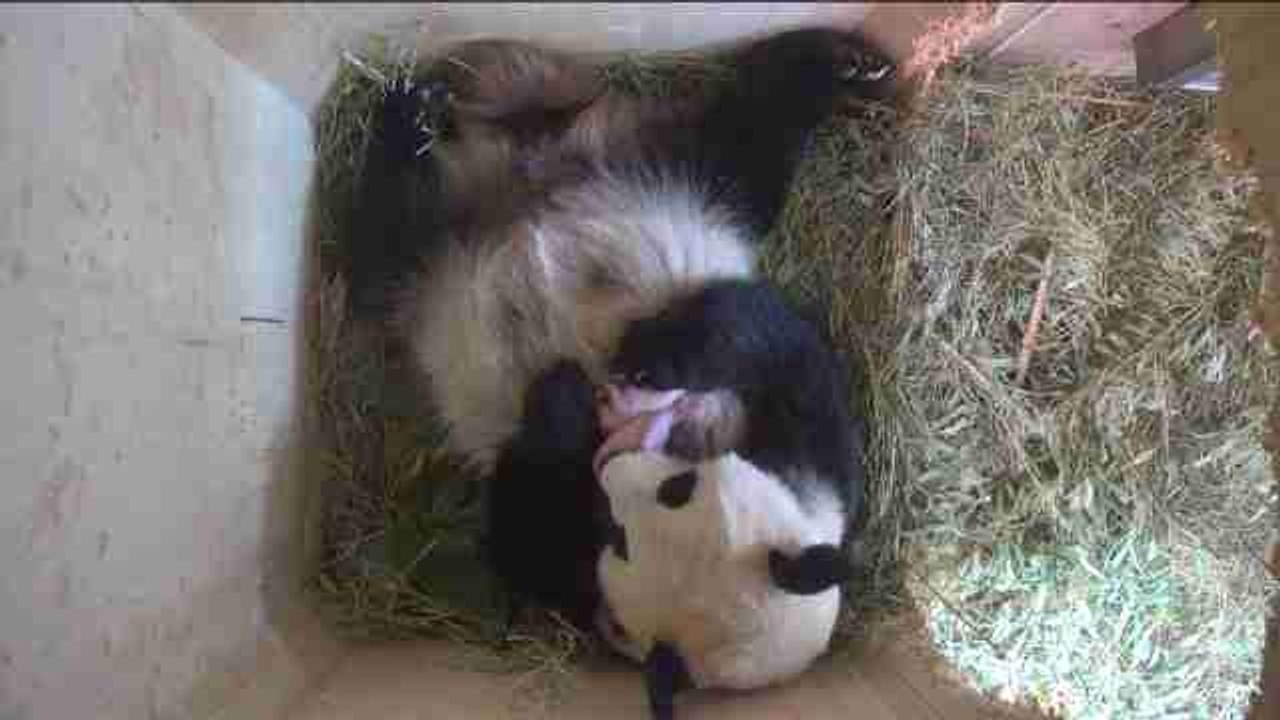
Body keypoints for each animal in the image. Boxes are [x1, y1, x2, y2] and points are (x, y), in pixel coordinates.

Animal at [346, 27, 891, 719]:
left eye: (636, 524)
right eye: (680, 487)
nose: (611, 396)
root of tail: (525, 177)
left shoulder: (588, 577)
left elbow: (531, 535)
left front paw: (565, 399)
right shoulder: (808, 439)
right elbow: (763, 336)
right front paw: (641, 354)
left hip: (452, 255)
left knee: (382, 246)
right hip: (676, 181)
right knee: (748, 137)